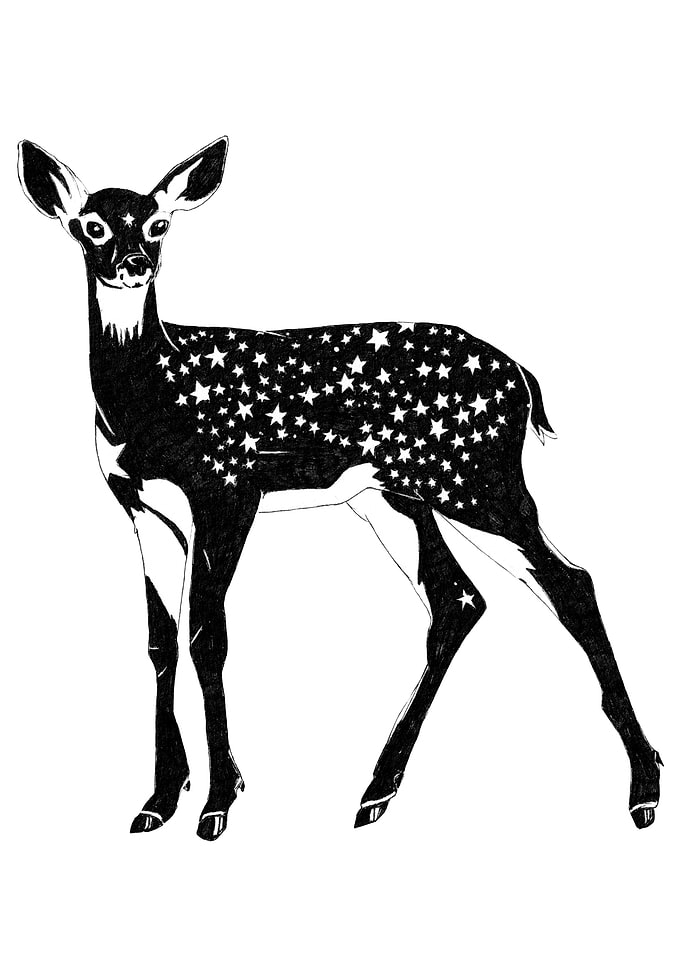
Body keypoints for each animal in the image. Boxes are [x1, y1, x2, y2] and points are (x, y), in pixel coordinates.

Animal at [18, 136, 662, 841]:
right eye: (91, 226)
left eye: (159, 224)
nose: (132, 264)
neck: (154, 396)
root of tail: (522, 378)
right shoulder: (141, 508)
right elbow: (161, 642)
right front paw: (158, 801)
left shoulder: (228, 487)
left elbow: (208, 637)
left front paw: (218, 803)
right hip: (395, 494)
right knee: (459, 599)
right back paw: (375, 792)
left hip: (477, 477)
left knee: (568, 580)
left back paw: (645, 788)